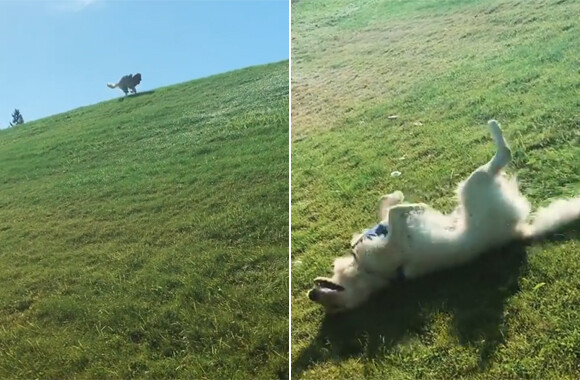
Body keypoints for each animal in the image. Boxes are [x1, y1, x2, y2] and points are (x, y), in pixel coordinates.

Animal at [310, 120, 580, 314]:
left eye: (328, 301)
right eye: (336, 307)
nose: (311, 294)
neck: (364, 269)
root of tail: (518, 231)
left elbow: (387, 205)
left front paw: (399, 196)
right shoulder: (393, 246)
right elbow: (398, 213)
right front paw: (414, 206)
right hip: (473, 186)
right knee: (504, 155)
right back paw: (494, 127)